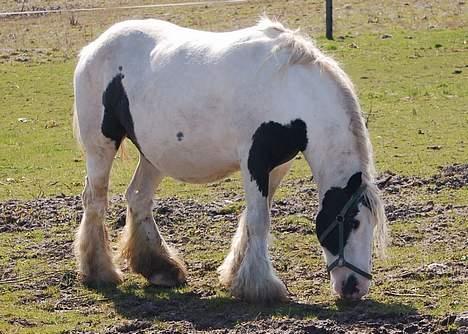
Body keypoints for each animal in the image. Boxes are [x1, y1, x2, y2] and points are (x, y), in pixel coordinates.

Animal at [73, 16, 388, 302]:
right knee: (95, 200)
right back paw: (99, 272)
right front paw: (262, 287)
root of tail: (93, 47)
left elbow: (252, 217)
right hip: (101, 146)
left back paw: (161, 269)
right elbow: (259, 220)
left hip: (153, 155)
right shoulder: (254, 162)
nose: (355, 288)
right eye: (352, 222)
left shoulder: (277, 166)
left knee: (138, 198)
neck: (289, 89)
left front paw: (236, 275)